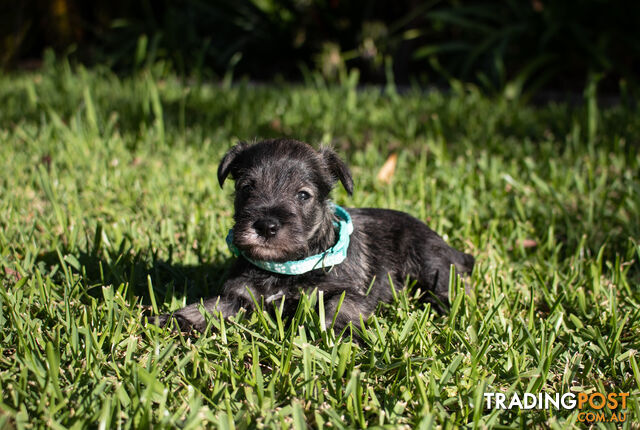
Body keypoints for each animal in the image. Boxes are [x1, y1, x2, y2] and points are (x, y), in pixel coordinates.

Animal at [156, 139, 476, 334]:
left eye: (302, 195)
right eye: (246, 188)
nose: (266, 226)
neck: (285, 267)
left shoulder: (346, 290)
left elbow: (339, 307)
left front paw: (336, 332)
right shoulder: (239, 295)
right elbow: (208, 307)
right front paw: (171, 319)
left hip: (431, 265)